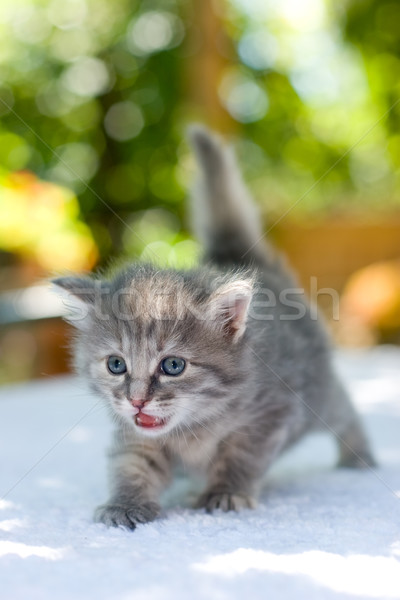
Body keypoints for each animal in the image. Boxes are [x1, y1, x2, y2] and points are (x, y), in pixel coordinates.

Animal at [52, 124, 376, 528]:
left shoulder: (270, 413)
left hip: (319, 393)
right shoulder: (135, 434)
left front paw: (225, 493)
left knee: (345, 412)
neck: (192, 426)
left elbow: (240, 457)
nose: (137, 399)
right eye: (116, 364)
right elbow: (131, 464)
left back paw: (361, 459)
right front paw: (124, 503)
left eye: (173, 366)